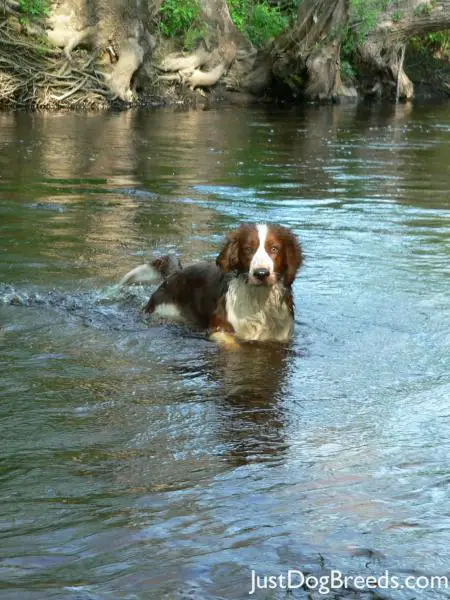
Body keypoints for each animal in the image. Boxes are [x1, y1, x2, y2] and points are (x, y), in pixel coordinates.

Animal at [119, 223, 302, 342]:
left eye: (274, 249)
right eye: (248, 249)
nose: (261, 273)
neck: (259, 300)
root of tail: (174, 275)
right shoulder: (219, 328)